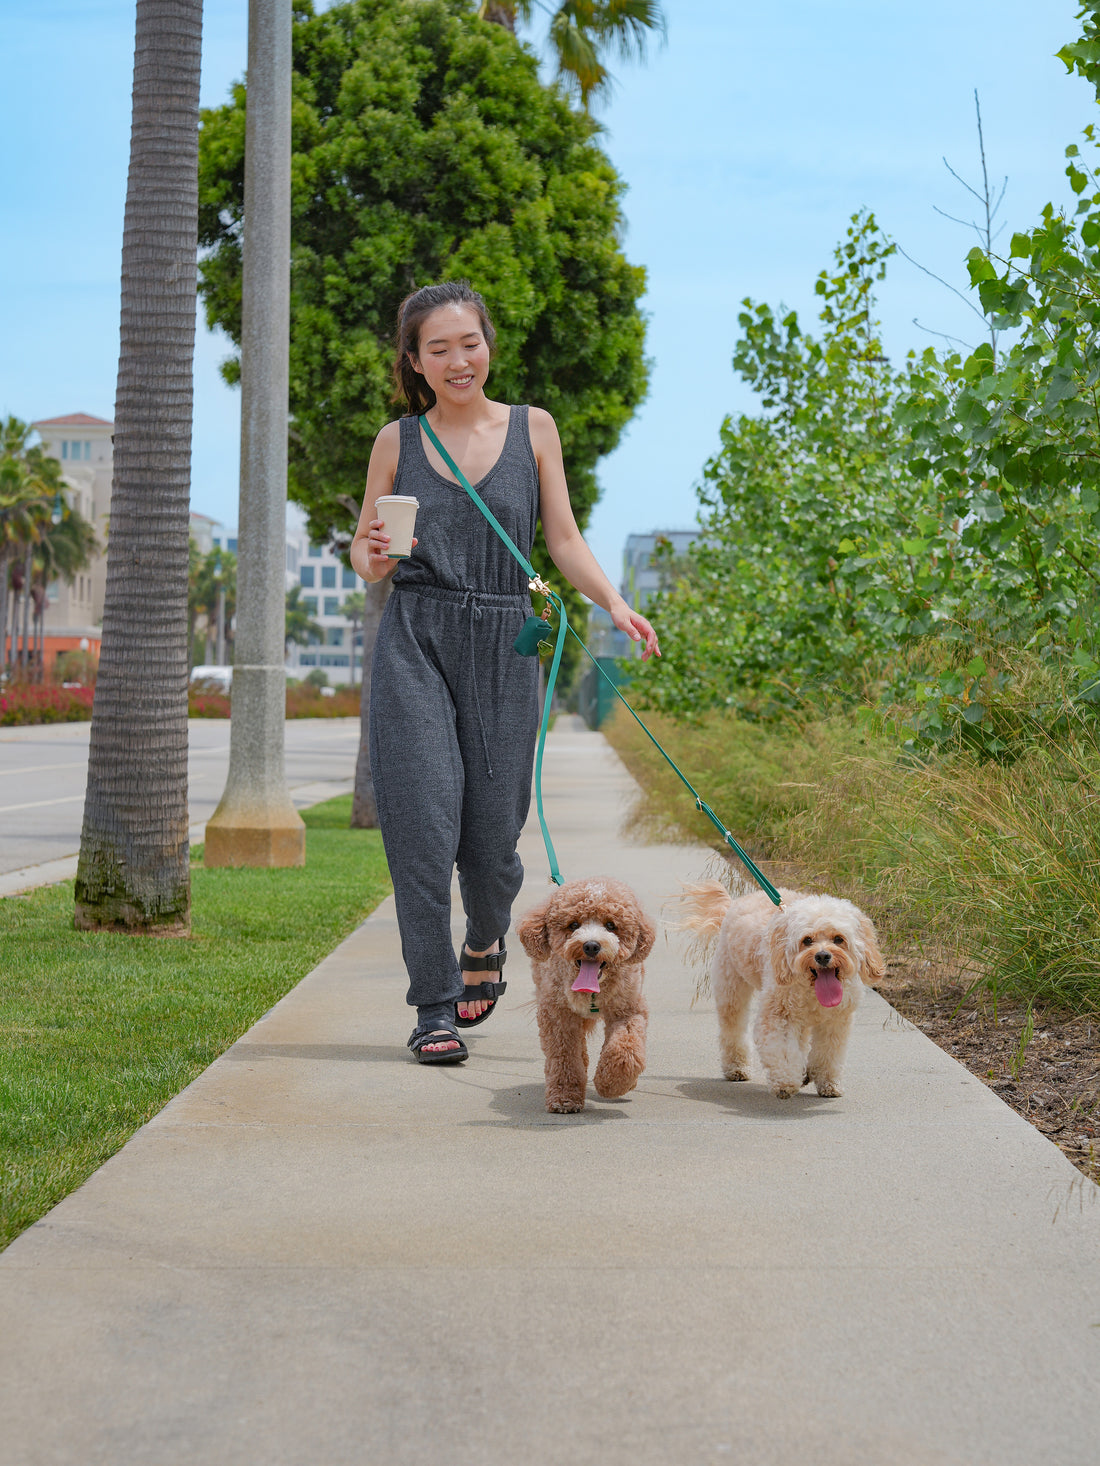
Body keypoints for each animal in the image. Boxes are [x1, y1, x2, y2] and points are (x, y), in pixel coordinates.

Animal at [680, 879, 885, 1102]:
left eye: (839, 939)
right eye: (807, 940)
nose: (822, 956)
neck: (813, 992)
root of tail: (733, 904)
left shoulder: (835, 1022)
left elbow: (827, 1053)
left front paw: (828, 1083)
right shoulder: (779, 1016)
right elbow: (784, 1052)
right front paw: (786, 1083)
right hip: (731, 989)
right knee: (733, 1029)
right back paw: (737, 1068)